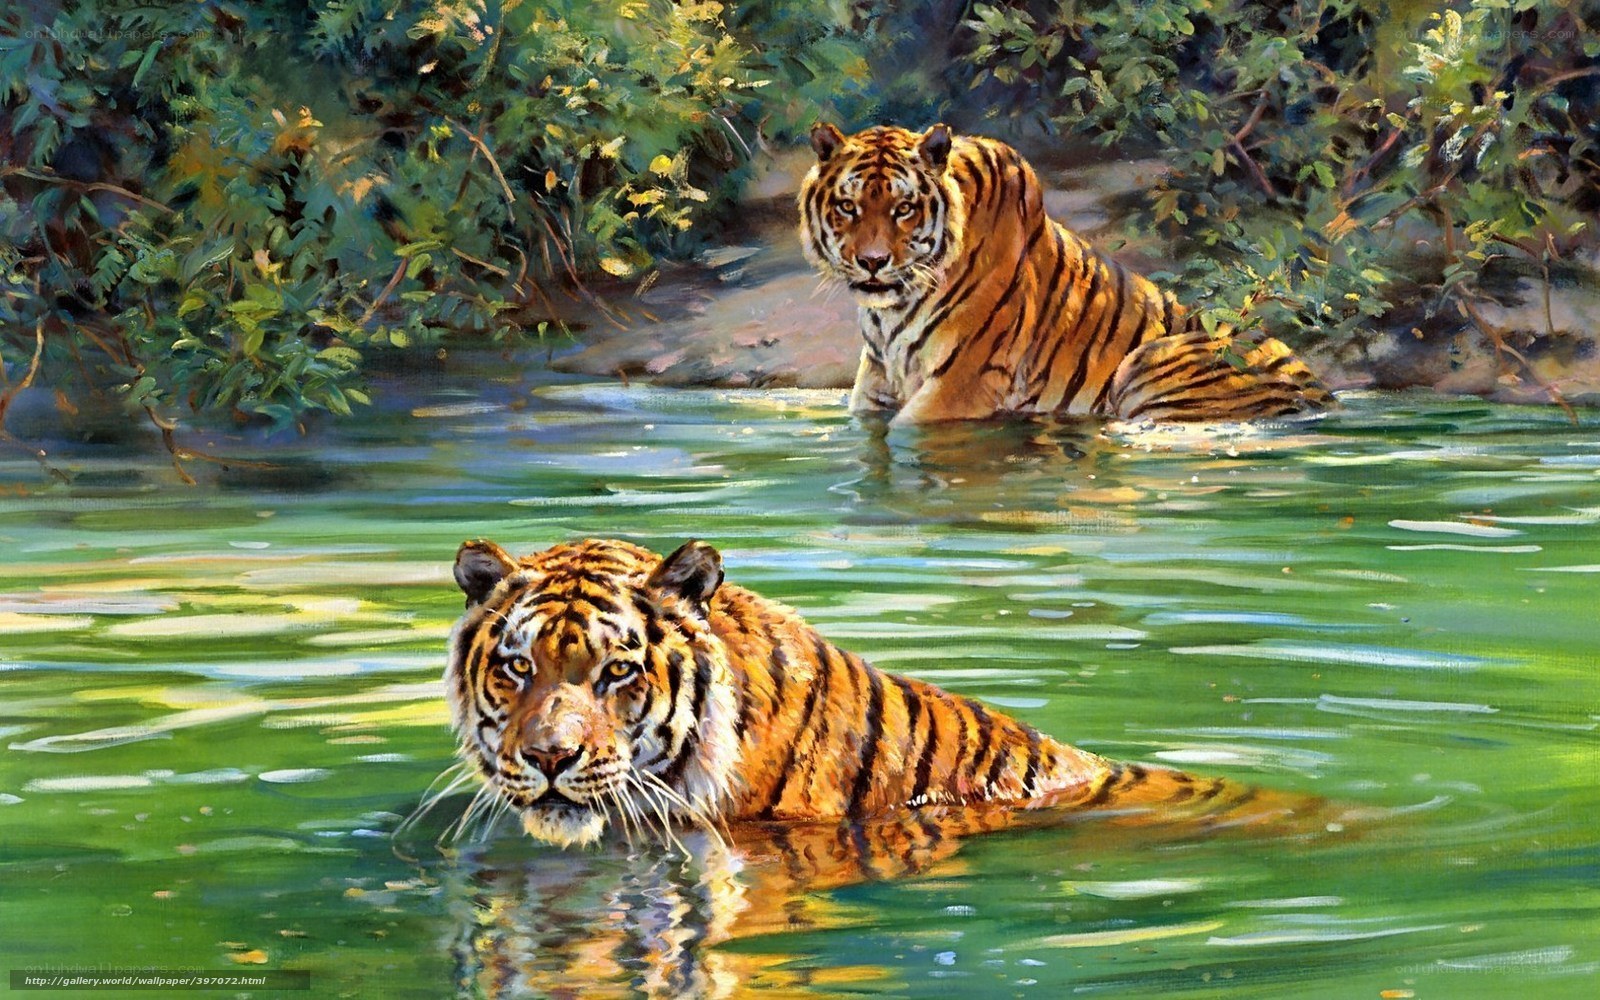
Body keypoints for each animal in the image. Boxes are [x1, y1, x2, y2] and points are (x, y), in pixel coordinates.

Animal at [799, 123, 1335, 424]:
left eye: (904, 209)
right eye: (847, 206)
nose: (872, 262)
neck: (890, 314)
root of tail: (1323, 394)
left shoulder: (964, 379)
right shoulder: (877, 385)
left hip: (1150, 366)